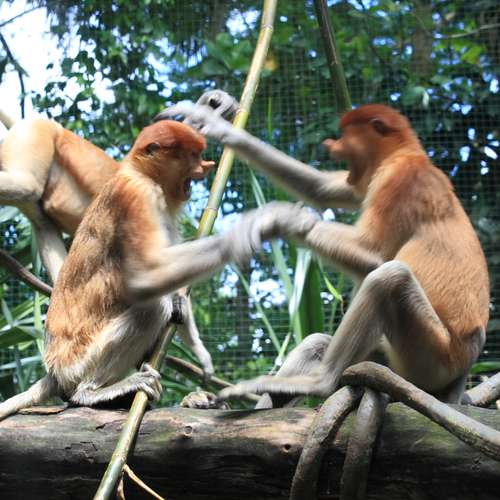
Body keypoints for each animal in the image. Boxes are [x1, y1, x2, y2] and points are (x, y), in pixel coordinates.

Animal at [0, 119, 222, 419]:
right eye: (193, 155)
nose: (207, 165)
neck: (140, 172)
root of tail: (54, 370)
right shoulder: (136, 197)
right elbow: (149, 275)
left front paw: (199, 351)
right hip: (79, 361)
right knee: (152, 309)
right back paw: (91, 393)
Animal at [136, 101, 489, 407]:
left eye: (347, 137)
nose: (333, 144)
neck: (403, 153)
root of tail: (462, 370)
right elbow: (323, 189)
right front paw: (216, 122)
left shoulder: (400, 181)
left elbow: (374, 254)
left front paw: (277, 219)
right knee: (319, 341)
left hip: (431, 360)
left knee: (390, 278)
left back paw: (318, 383)